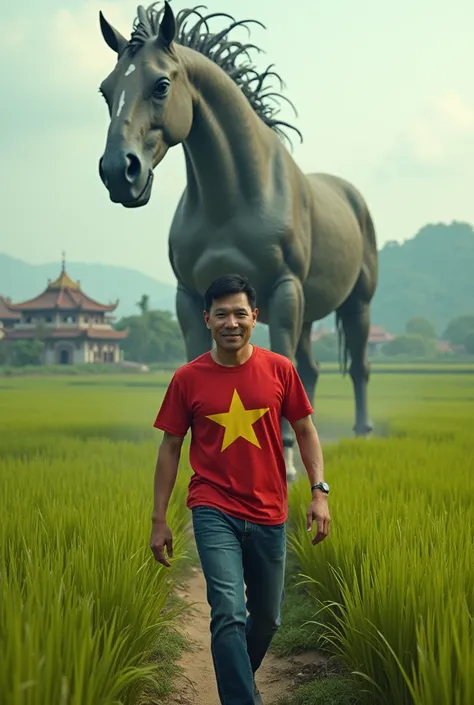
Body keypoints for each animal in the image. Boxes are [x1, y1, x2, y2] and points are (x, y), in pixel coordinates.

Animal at [98, 1, 380, 478]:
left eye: (161, 85)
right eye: (105, 90)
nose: (119, 172)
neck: (233, 199)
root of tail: (352, 196)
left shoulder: (284, 290)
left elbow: (284, 366)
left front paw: (286, 464)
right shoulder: (190, 297)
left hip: (355, 303)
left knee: (358, 367)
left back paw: (359, 435)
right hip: (309, 310)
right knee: (311, 369)